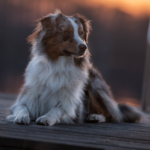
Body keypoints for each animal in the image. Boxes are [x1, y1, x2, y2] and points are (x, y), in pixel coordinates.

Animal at [7, 9, 143, 126]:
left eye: (82, 34)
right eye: (66, 33)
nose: (84, 47)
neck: (59, 65)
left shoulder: (71, 107)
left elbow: (57, 109)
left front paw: (46, 117)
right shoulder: (25, 99)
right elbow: (22, 109)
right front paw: (22, 117)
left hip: (95, 87)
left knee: (112, 115)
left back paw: (95, 117)